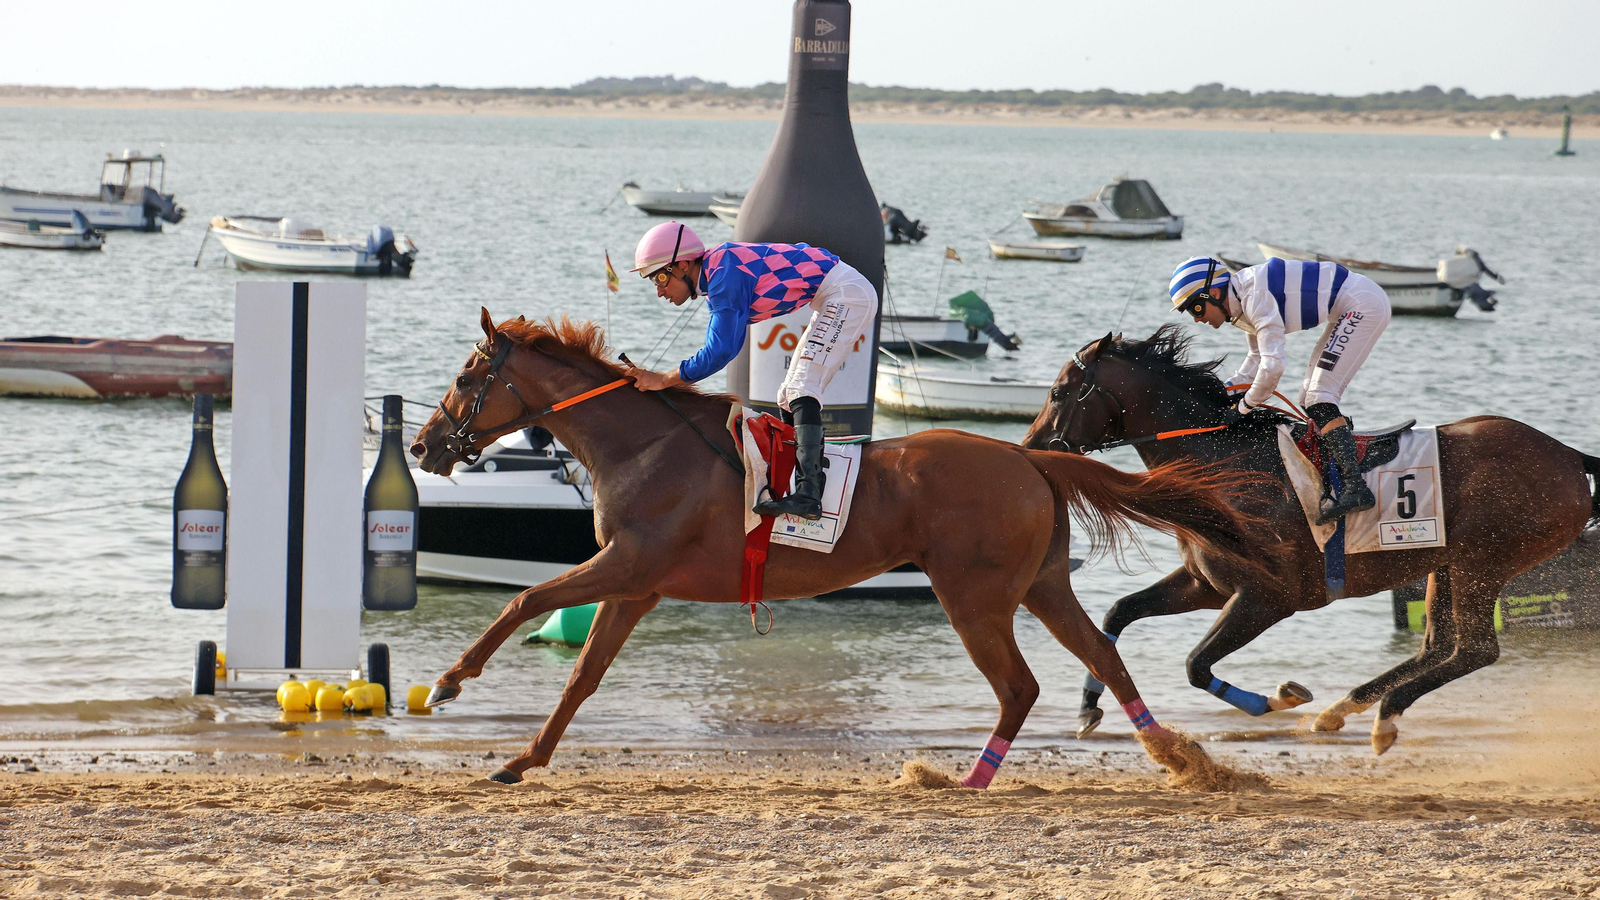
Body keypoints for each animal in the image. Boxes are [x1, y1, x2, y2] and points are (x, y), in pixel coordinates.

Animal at [409, 309, 1275, 786]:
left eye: (466, 376)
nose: (423, 446)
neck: (643, 445)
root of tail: (1028, 457)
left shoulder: (628, 564)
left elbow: (527, 597)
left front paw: (448, 683)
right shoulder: (638, 585)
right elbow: (583, 676)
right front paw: (523, 758)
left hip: (973, 597)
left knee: (1020, 685)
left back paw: (968, 779)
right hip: (1043, 585)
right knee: (1102, 653)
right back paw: (1177, 758)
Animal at [1021, 325, 1600, 754]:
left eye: (1057, 392)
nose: (1031, 445)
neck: (1225, 463)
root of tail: (1569, 456)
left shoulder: (1271, 597)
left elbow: (1195, 665)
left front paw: (1277, 698)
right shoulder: (1207, 583)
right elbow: (1118, 612)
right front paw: (1087, 709)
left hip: (1483, 559)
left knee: (1474, 649)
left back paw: (1381, 719)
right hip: (1445, 563)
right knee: (1439, 645)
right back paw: (1343, 711)